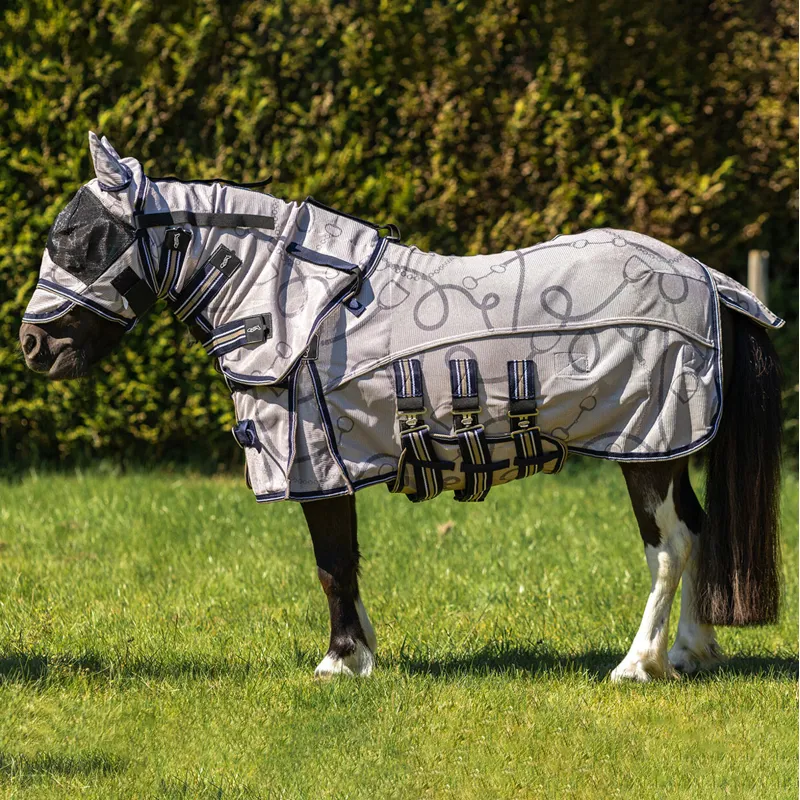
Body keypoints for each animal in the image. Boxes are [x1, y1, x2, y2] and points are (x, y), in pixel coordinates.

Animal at [18, 133, 783, 681]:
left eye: (81, 241)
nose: (33, 346)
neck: (290, 301)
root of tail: (706, 277)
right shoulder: (333, 464)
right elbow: (347, 560)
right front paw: (364, 653)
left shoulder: (315, 465)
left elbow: (330, 561)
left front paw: (338, 662)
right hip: (665, 448)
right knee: (697, 531)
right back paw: (689, 652)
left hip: (644, 449)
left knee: (669, 545)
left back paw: (638, 665)